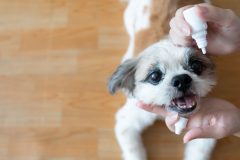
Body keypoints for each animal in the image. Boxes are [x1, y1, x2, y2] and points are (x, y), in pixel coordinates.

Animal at [108, 0, 216, 160]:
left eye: (196, 65)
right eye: (154, 76)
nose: (181, 80)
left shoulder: (206, 132)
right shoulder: (128, 120)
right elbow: (134, 151)